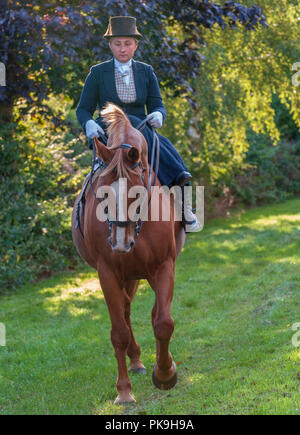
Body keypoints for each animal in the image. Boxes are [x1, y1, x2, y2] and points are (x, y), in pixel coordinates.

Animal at [72, 103, 185, 406]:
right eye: (102, 193)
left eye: (137, 191)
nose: (121, 244)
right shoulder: (108, 274)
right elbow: (119, 333)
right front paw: (124, 391)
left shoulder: (164, 266)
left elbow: (163, 322)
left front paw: (165, 373)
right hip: (126, 276)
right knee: (125, 312)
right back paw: (135, 362)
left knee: (147, 312)